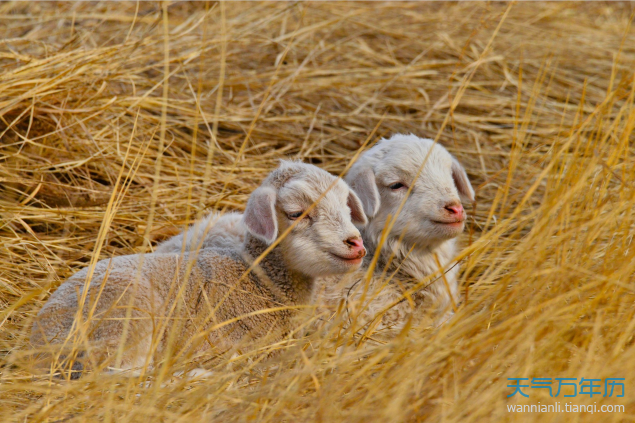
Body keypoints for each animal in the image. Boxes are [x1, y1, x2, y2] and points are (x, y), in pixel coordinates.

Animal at [29, 161, 368, 378]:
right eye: (297, 213)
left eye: (346, 206)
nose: (355, 243)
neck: (260, 281)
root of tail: (38, 340)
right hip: (126, 318)